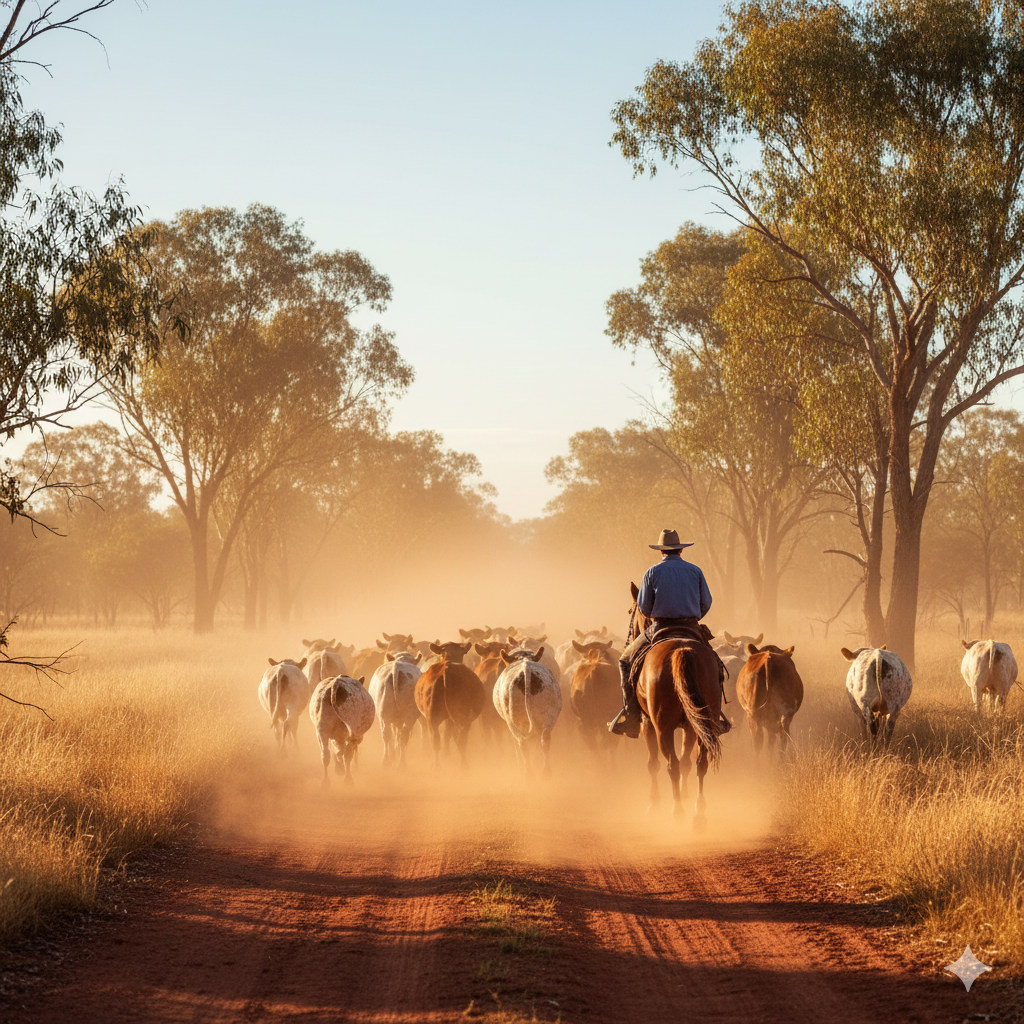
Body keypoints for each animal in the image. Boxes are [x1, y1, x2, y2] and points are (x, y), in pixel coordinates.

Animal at [493, 646, 562, 777]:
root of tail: (526, 668)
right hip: (549, 713)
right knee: (545, 738)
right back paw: (545, 772)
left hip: (514, 720)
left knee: (522, 742)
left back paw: (527, 773)